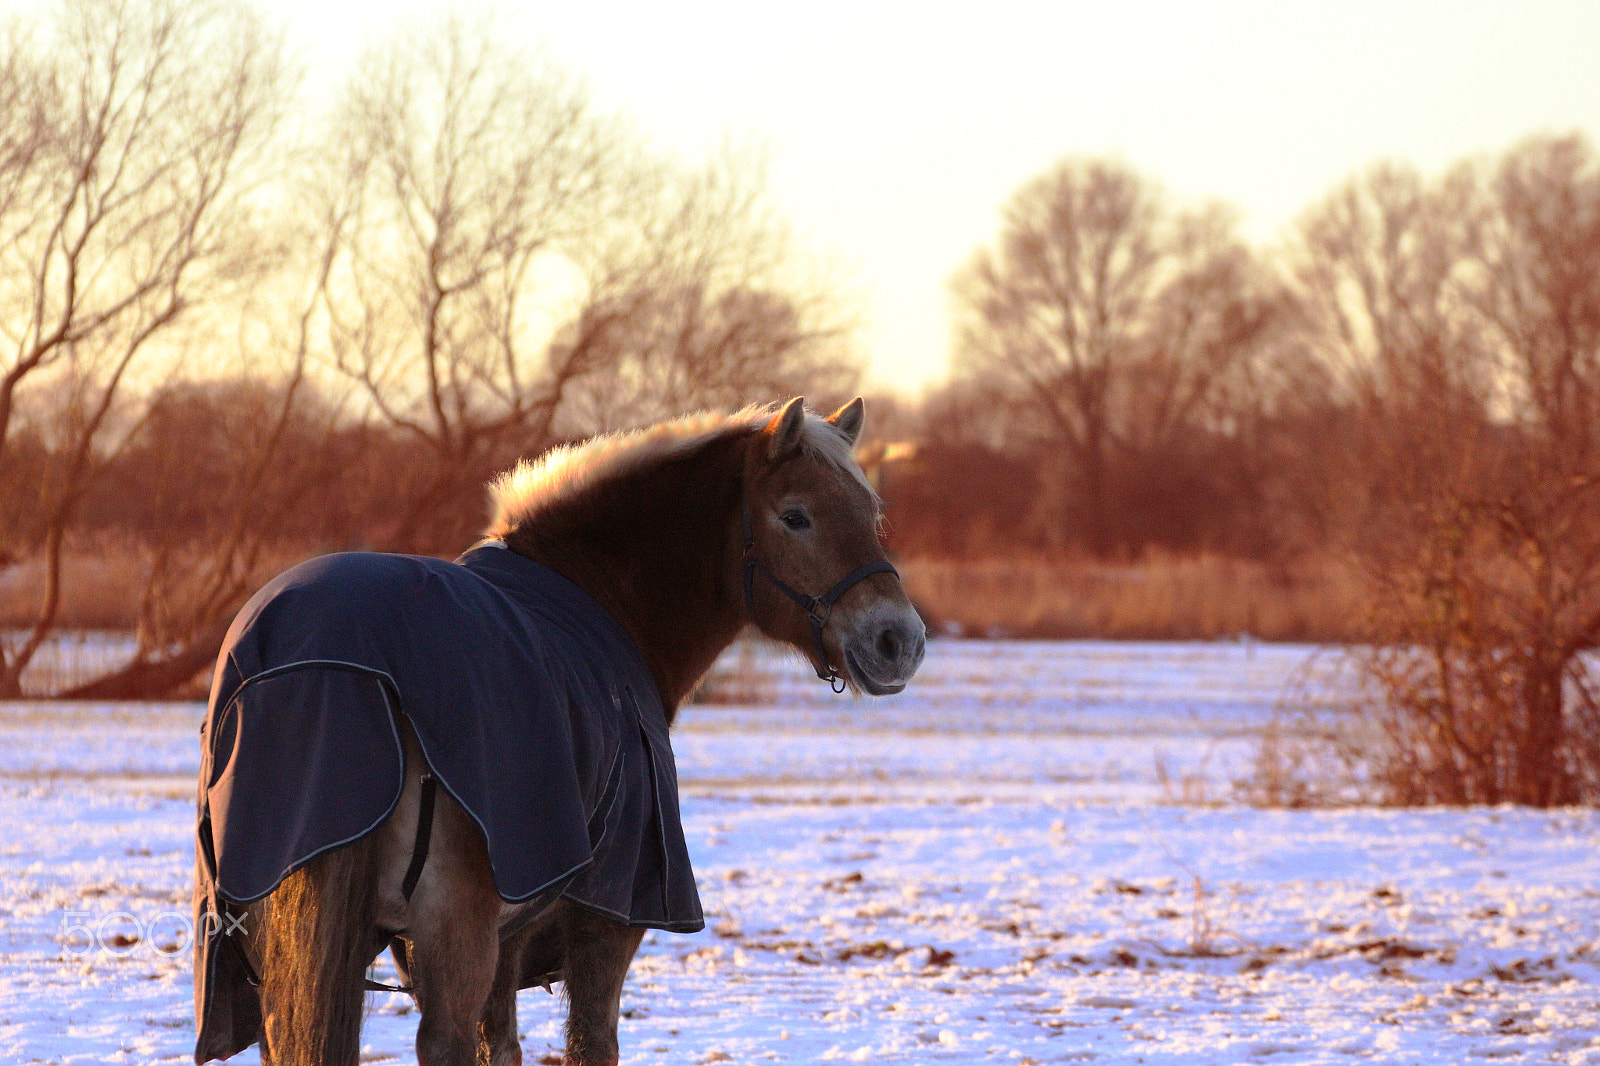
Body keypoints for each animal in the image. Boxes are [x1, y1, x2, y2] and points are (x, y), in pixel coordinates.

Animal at [190, 398, 928, 1062]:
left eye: (872, 517)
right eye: (796, 516)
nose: (899, 641)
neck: (598, 599)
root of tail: (341, 668)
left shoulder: (502, 942)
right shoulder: (607, 922)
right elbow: (589, 1044)